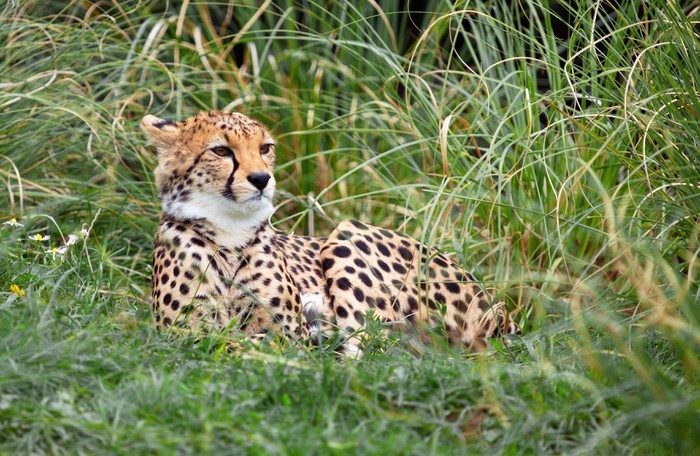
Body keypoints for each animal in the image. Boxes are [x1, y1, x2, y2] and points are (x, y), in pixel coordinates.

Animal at [142, 109, 517, 356]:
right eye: (220, 150)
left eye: (265, 148)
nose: (262, 179)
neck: (230, 231)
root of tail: (497, 306)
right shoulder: (179, 330)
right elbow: (221, 337)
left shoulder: (287, 329)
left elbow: (267, 339)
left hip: (348, 233)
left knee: (375, 347)